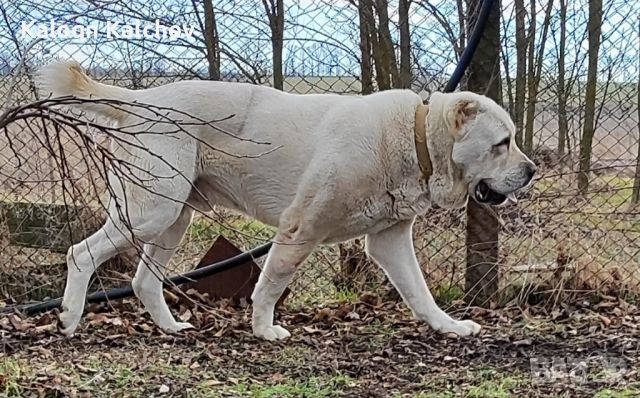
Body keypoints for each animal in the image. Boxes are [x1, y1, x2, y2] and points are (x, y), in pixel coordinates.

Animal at [35, 60, 536, 340]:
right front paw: (263, 330)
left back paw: (172, 328)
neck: (415, 139)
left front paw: (449, 327)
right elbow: (270, 285)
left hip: (174, 219)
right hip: (149, 213)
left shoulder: (389, 243)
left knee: (143, 282)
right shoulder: (300, 229)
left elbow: (421, 294)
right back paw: (69, 319)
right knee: (80, 254)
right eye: (502, 143)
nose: (532, 172)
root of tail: (142, 99)